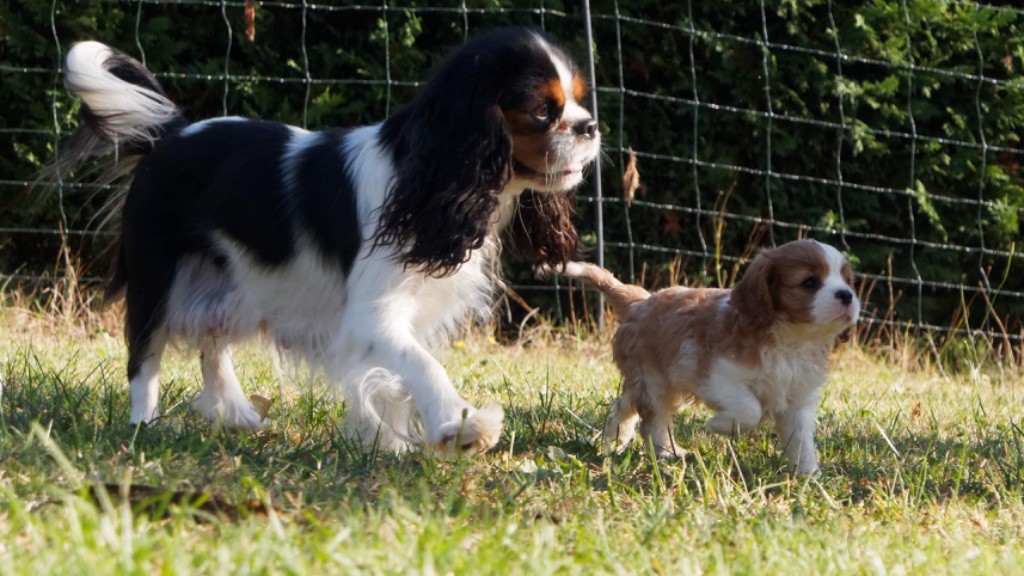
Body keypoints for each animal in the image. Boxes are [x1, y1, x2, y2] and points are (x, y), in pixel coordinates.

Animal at [46, 28, 598, 453]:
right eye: (542, 111)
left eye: (576, 100)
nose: (590, 126)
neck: (427, 174)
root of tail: (172, 134)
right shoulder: (373, 315)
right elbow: (422, 366)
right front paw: (460, 427)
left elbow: (393, 380)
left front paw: (391, 442)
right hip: (158, 276)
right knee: (145, 356)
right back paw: (145, 426)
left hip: (234, 283)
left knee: (212, 342)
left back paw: (236, 412)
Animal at [557, 237, 860, 471]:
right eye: (809, 282)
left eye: (847, 281)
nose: (846, 295)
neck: (791, 341)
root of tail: (641, 300)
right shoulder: (717, 374)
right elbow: (749, 408)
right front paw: (720, 425)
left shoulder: (798, 398)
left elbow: (801, 440)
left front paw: (809, 475)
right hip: (653, 380)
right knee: (653, 420)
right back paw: (665, 452)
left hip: (649, 379)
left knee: (624, 406)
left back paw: (613, 441)